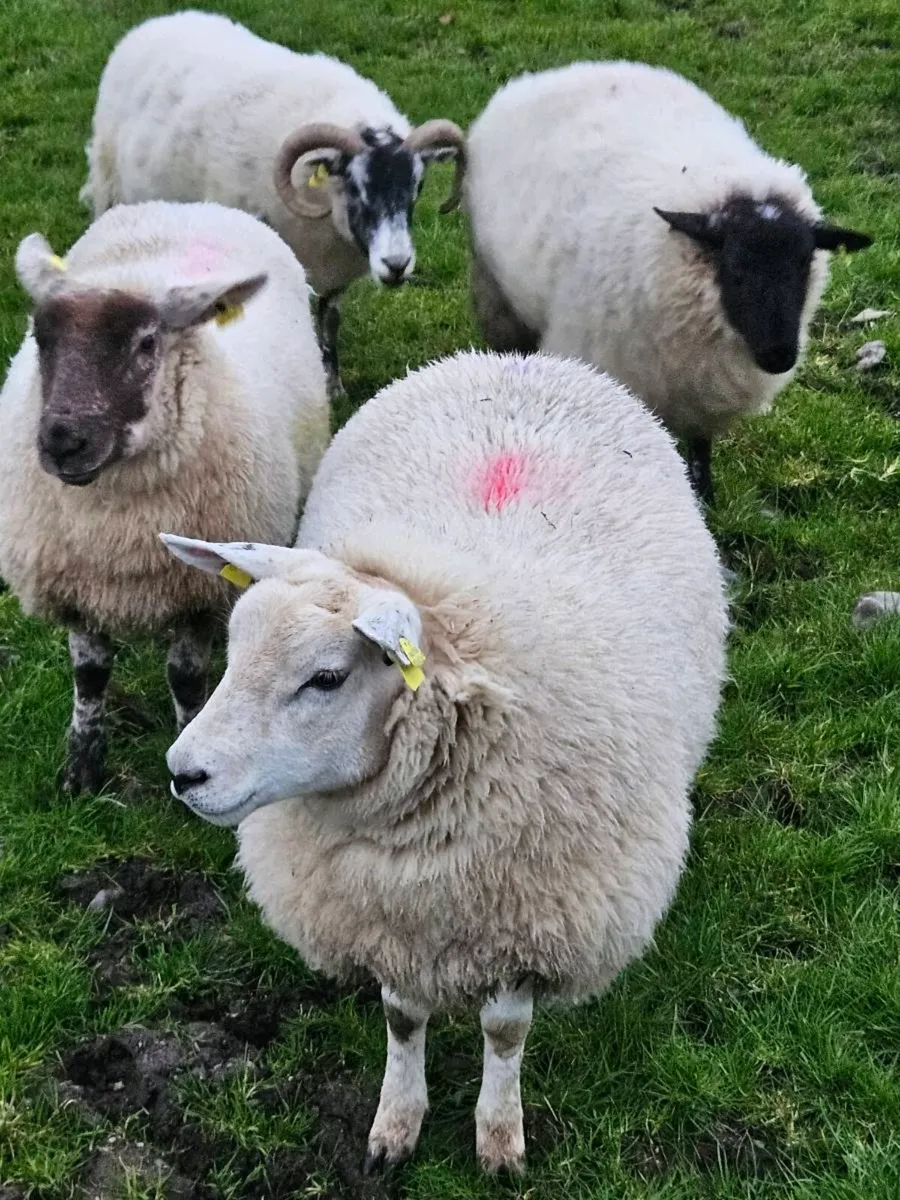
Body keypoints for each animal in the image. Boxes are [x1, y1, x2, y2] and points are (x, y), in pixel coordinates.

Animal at [0, 200, 329, 795]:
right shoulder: (76, 587)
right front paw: (82, 770)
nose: (62, 441)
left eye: (147, 343)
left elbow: (187, 676)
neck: (117, 530)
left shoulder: (201, 590)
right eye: (41, 340)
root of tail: (188, 204)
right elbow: (90, 676)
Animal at [81, 10, 466, 398]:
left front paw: (333, 385)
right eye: (355, 186)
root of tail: (160, 20)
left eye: (418, 185)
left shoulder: (335, 268)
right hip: (111, 187)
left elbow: (330, 320)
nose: (397, 265)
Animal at [161, 350, 729, 1174]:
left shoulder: (530, 924)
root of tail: (517, 360)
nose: (184, 772)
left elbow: (505, 1032)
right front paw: (395, 1126)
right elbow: (402, 1021)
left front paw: (499, 1139)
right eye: (234, 651)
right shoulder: (389, 921)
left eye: (325, 678)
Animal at [464, 61, 872, 503]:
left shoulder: (701, 393)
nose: (779, 356)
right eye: (736, 266)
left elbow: (700, 448)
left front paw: (704, 498)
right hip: (498, 295)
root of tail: (560, 72)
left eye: (804, 263)